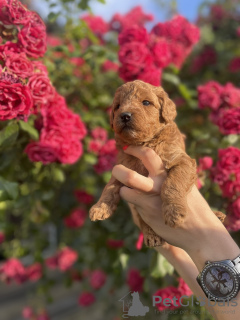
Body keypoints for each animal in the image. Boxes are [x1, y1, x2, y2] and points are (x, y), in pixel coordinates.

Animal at [88, 80, 225, 248]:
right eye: (118, 106)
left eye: (146, 102)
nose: (125, 115)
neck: (144, 143)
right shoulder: (122, 167)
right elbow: (110, 186)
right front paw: (99, 207)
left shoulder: (182, 161)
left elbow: (172, 184)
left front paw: (174, 212)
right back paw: (151, 236)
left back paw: (217, 215)